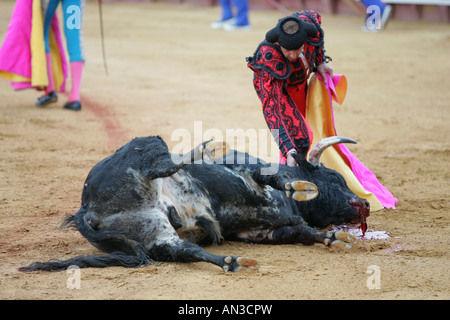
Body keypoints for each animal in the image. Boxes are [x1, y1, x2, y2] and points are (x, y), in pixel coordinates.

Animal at [20, 135, 370, 272]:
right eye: (335, 177)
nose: (364, 205)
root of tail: (85, 211)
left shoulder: (265, 232)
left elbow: (303, 232)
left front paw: (334, 237)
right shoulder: (247, 171)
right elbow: (272, 177)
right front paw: (300, 186)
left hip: (156, 235)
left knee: (185, 250)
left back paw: (232, 261)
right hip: (144, 147)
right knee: (159, 164)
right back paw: (202, 146)